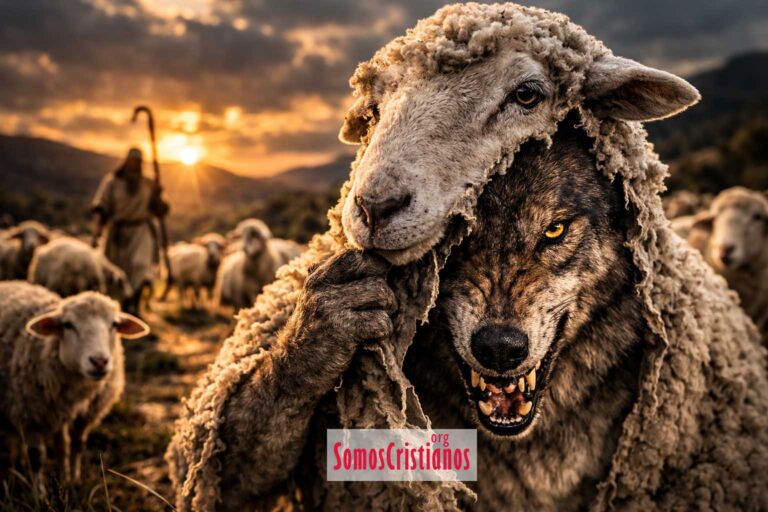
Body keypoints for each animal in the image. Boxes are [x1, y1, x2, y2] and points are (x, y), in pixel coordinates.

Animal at [0, 281, 148, 491]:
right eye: (68, 325)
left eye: (114, 324)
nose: (99, 361)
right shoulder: (29, 414)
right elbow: (37, 457)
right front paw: (39, 493)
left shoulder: (85, 415)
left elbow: (76, 445)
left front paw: (72, 480)